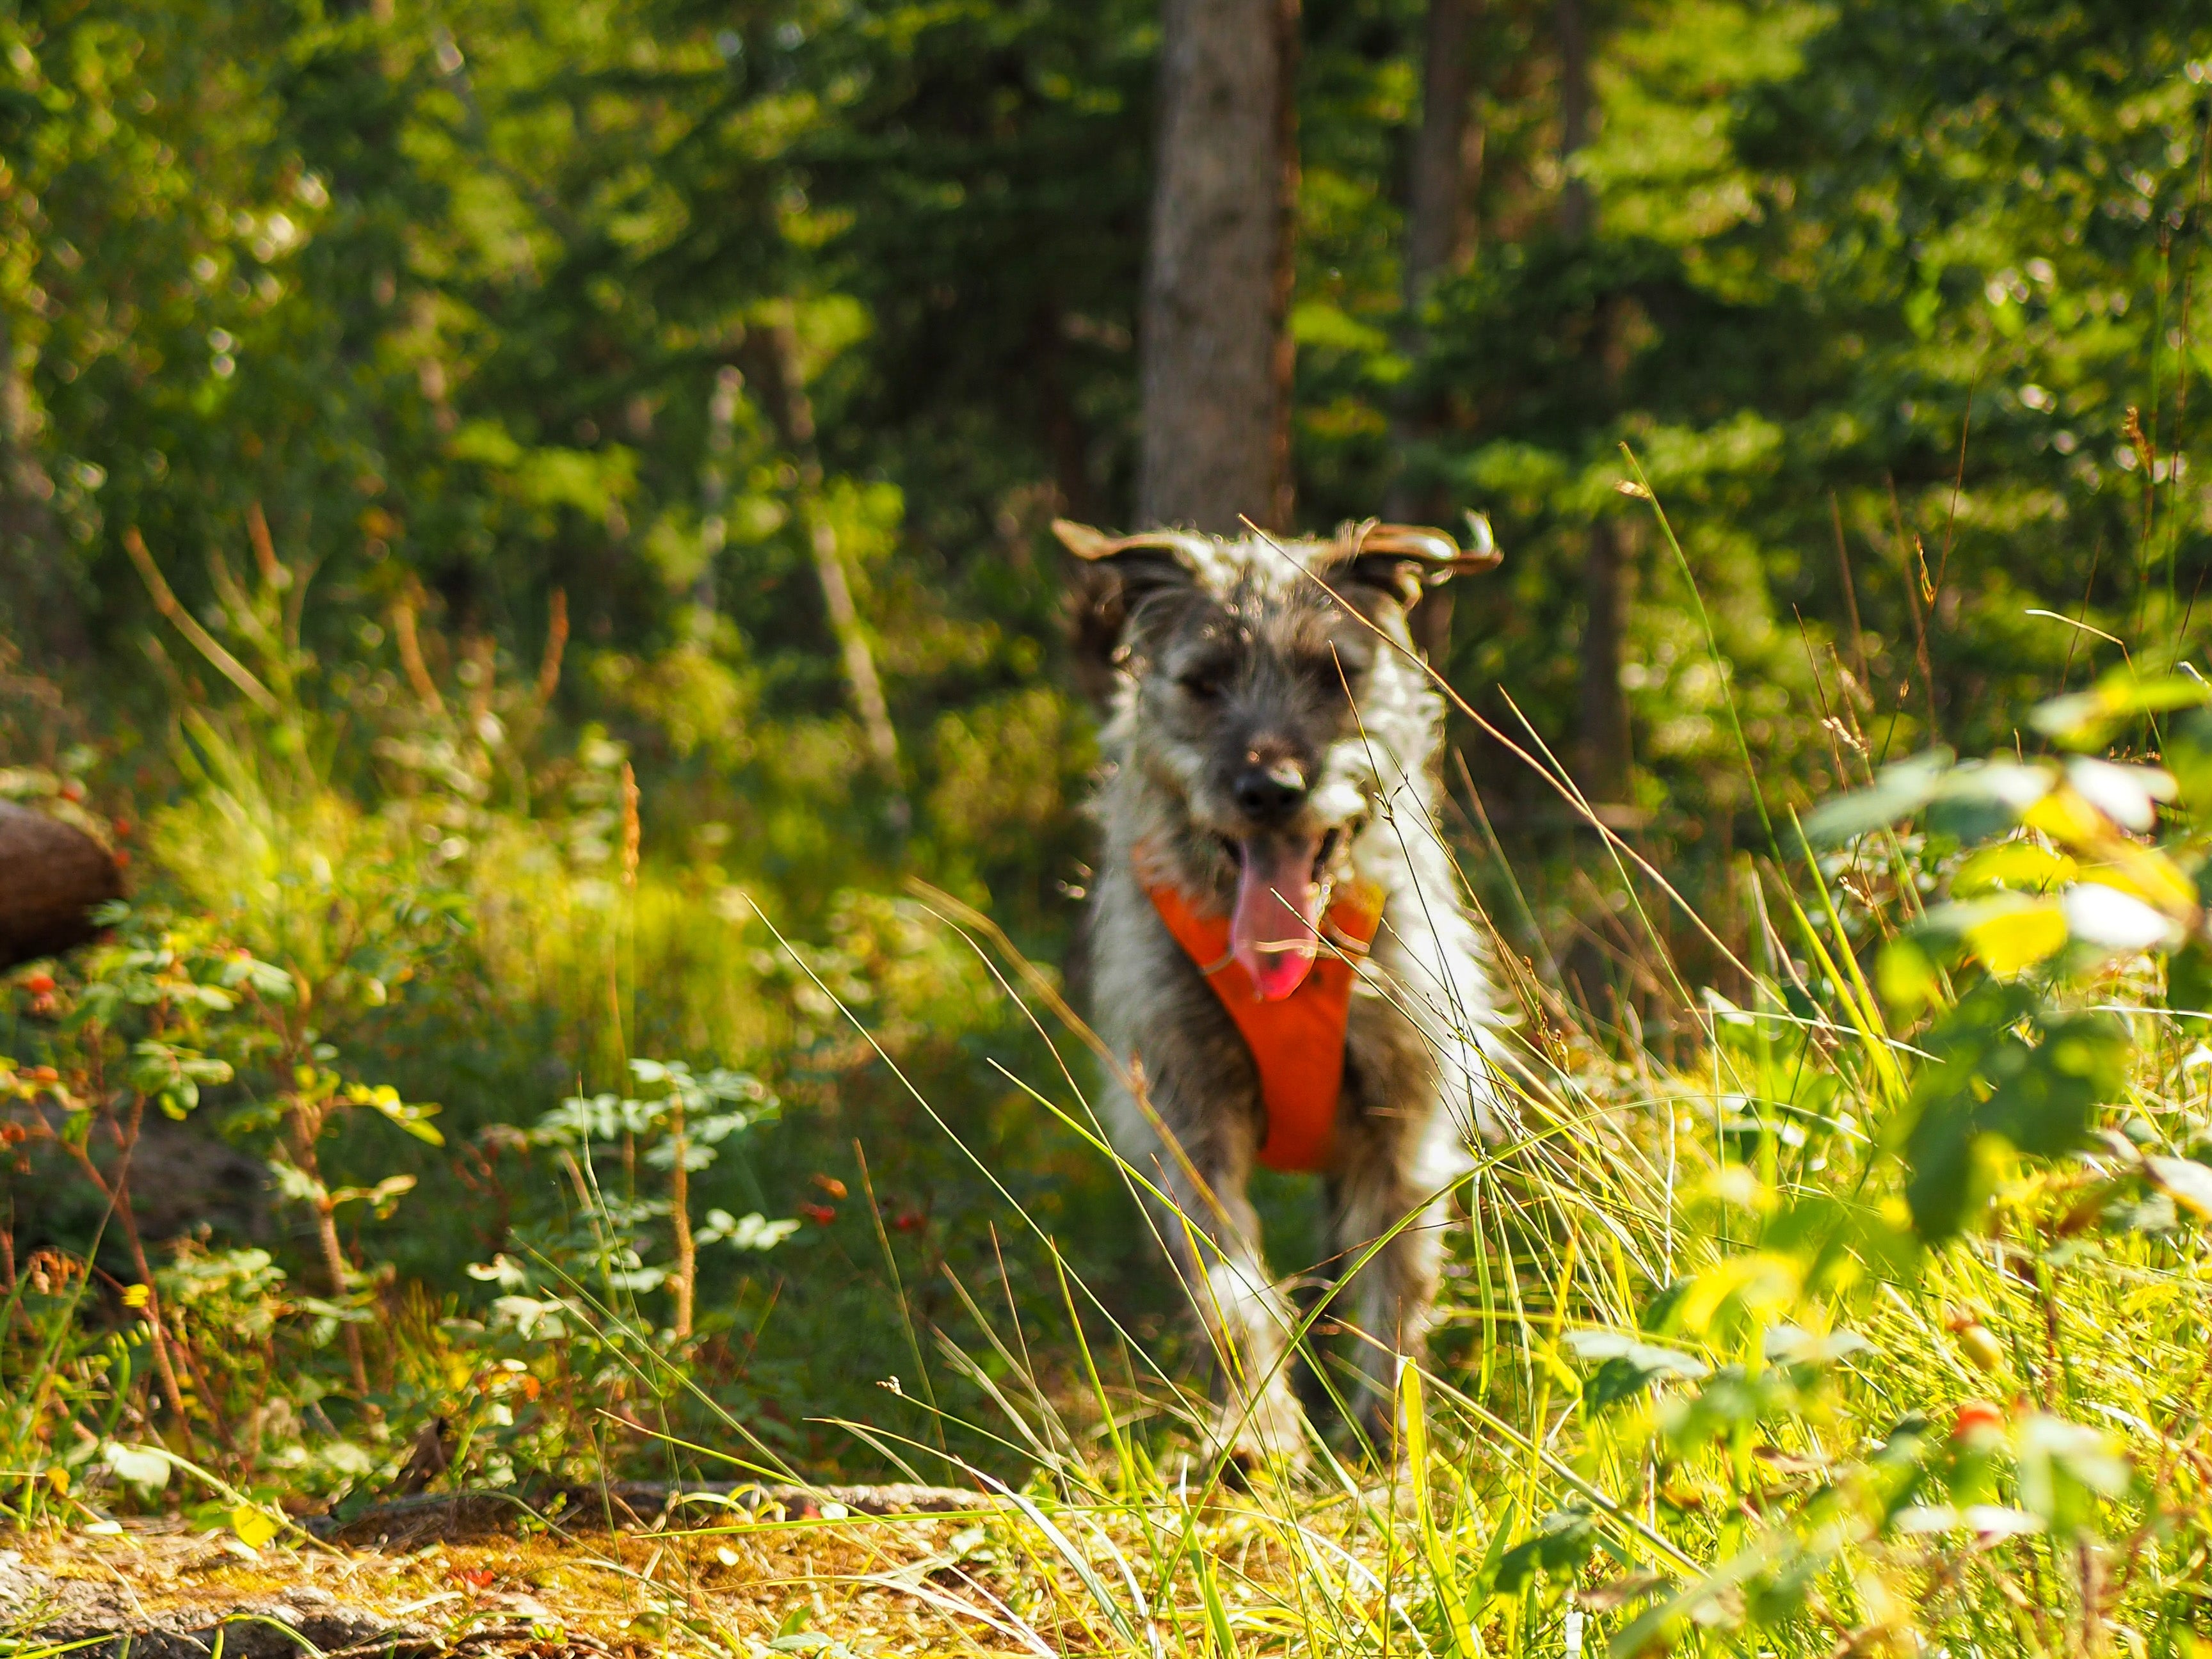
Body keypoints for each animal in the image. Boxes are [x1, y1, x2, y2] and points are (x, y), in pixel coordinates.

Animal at [1057, 517, 1512, 1468]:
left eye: (1334, 672)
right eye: (1203, 681)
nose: (1270, 791)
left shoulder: (1402, 1125)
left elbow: (1396, 1282)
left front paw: (1387, 1433)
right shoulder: (1187, 1121)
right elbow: (1232, 1290)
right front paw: (1257, 1430)